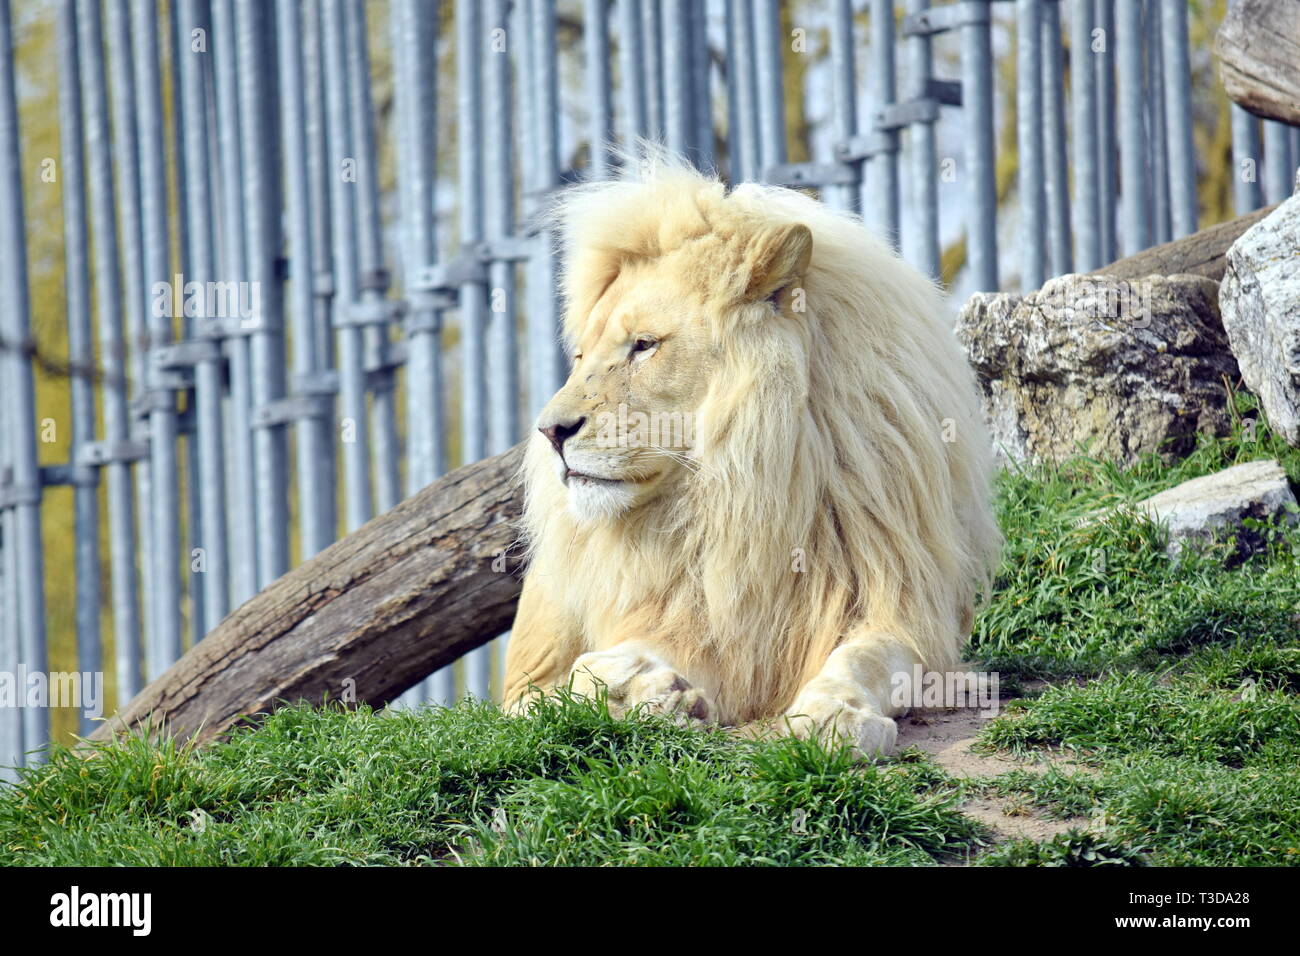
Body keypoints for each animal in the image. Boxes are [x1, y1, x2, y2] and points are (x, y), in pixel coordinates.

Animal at [501, 153, 1001, 758]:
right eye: (579, 357)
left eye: (643, 345)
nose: (550, 431)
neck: (745, 491)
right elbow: (589, 674)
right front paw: (645, 692)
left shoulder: (904, 612)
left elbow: (868, 659)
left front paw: (836, 714)